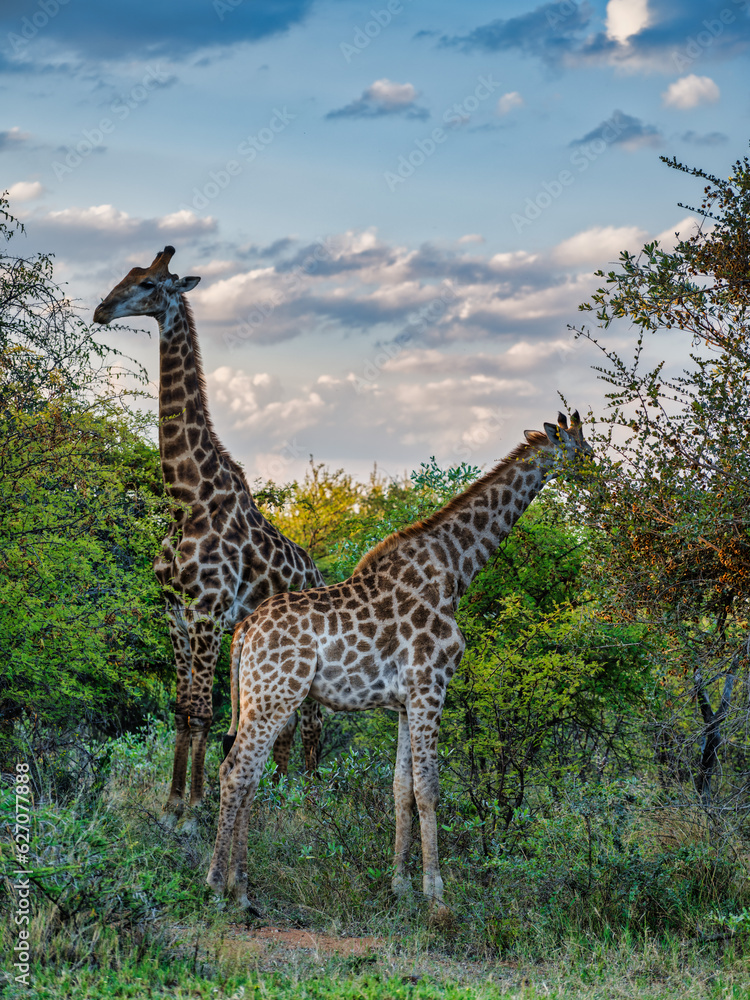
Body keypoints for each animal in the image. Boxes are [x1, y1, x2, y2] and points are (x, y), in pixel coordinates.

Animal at [93, 246, 326, 829]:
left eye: (150, 283)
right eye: (127, 273)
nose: (101, 311)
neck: (186, 497)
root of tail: (318, 574)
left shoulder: (207, 611)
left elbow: (201, 711)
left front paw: (192, 811)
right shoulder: (175, 612)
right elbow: (182, 710)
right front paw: (173, 803)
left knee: (312, 724)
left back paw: (311, 807)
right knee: (287, 724)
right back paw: (275, 798)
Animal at [206, 412, 593, 919]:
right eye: (584, 451)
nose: (602, 481)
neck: (455, 571)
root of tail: (244, 630)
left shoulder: (407, 701)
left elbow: (400, 788)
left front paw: (400, 887)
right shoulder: (431, 686)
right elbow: (428, 787)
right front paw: (437, 897)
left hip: (262, 697)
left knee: (248, 775)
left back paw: (242, 890)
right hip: (276, 695)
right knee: (236, 772)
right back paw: (217, 886)